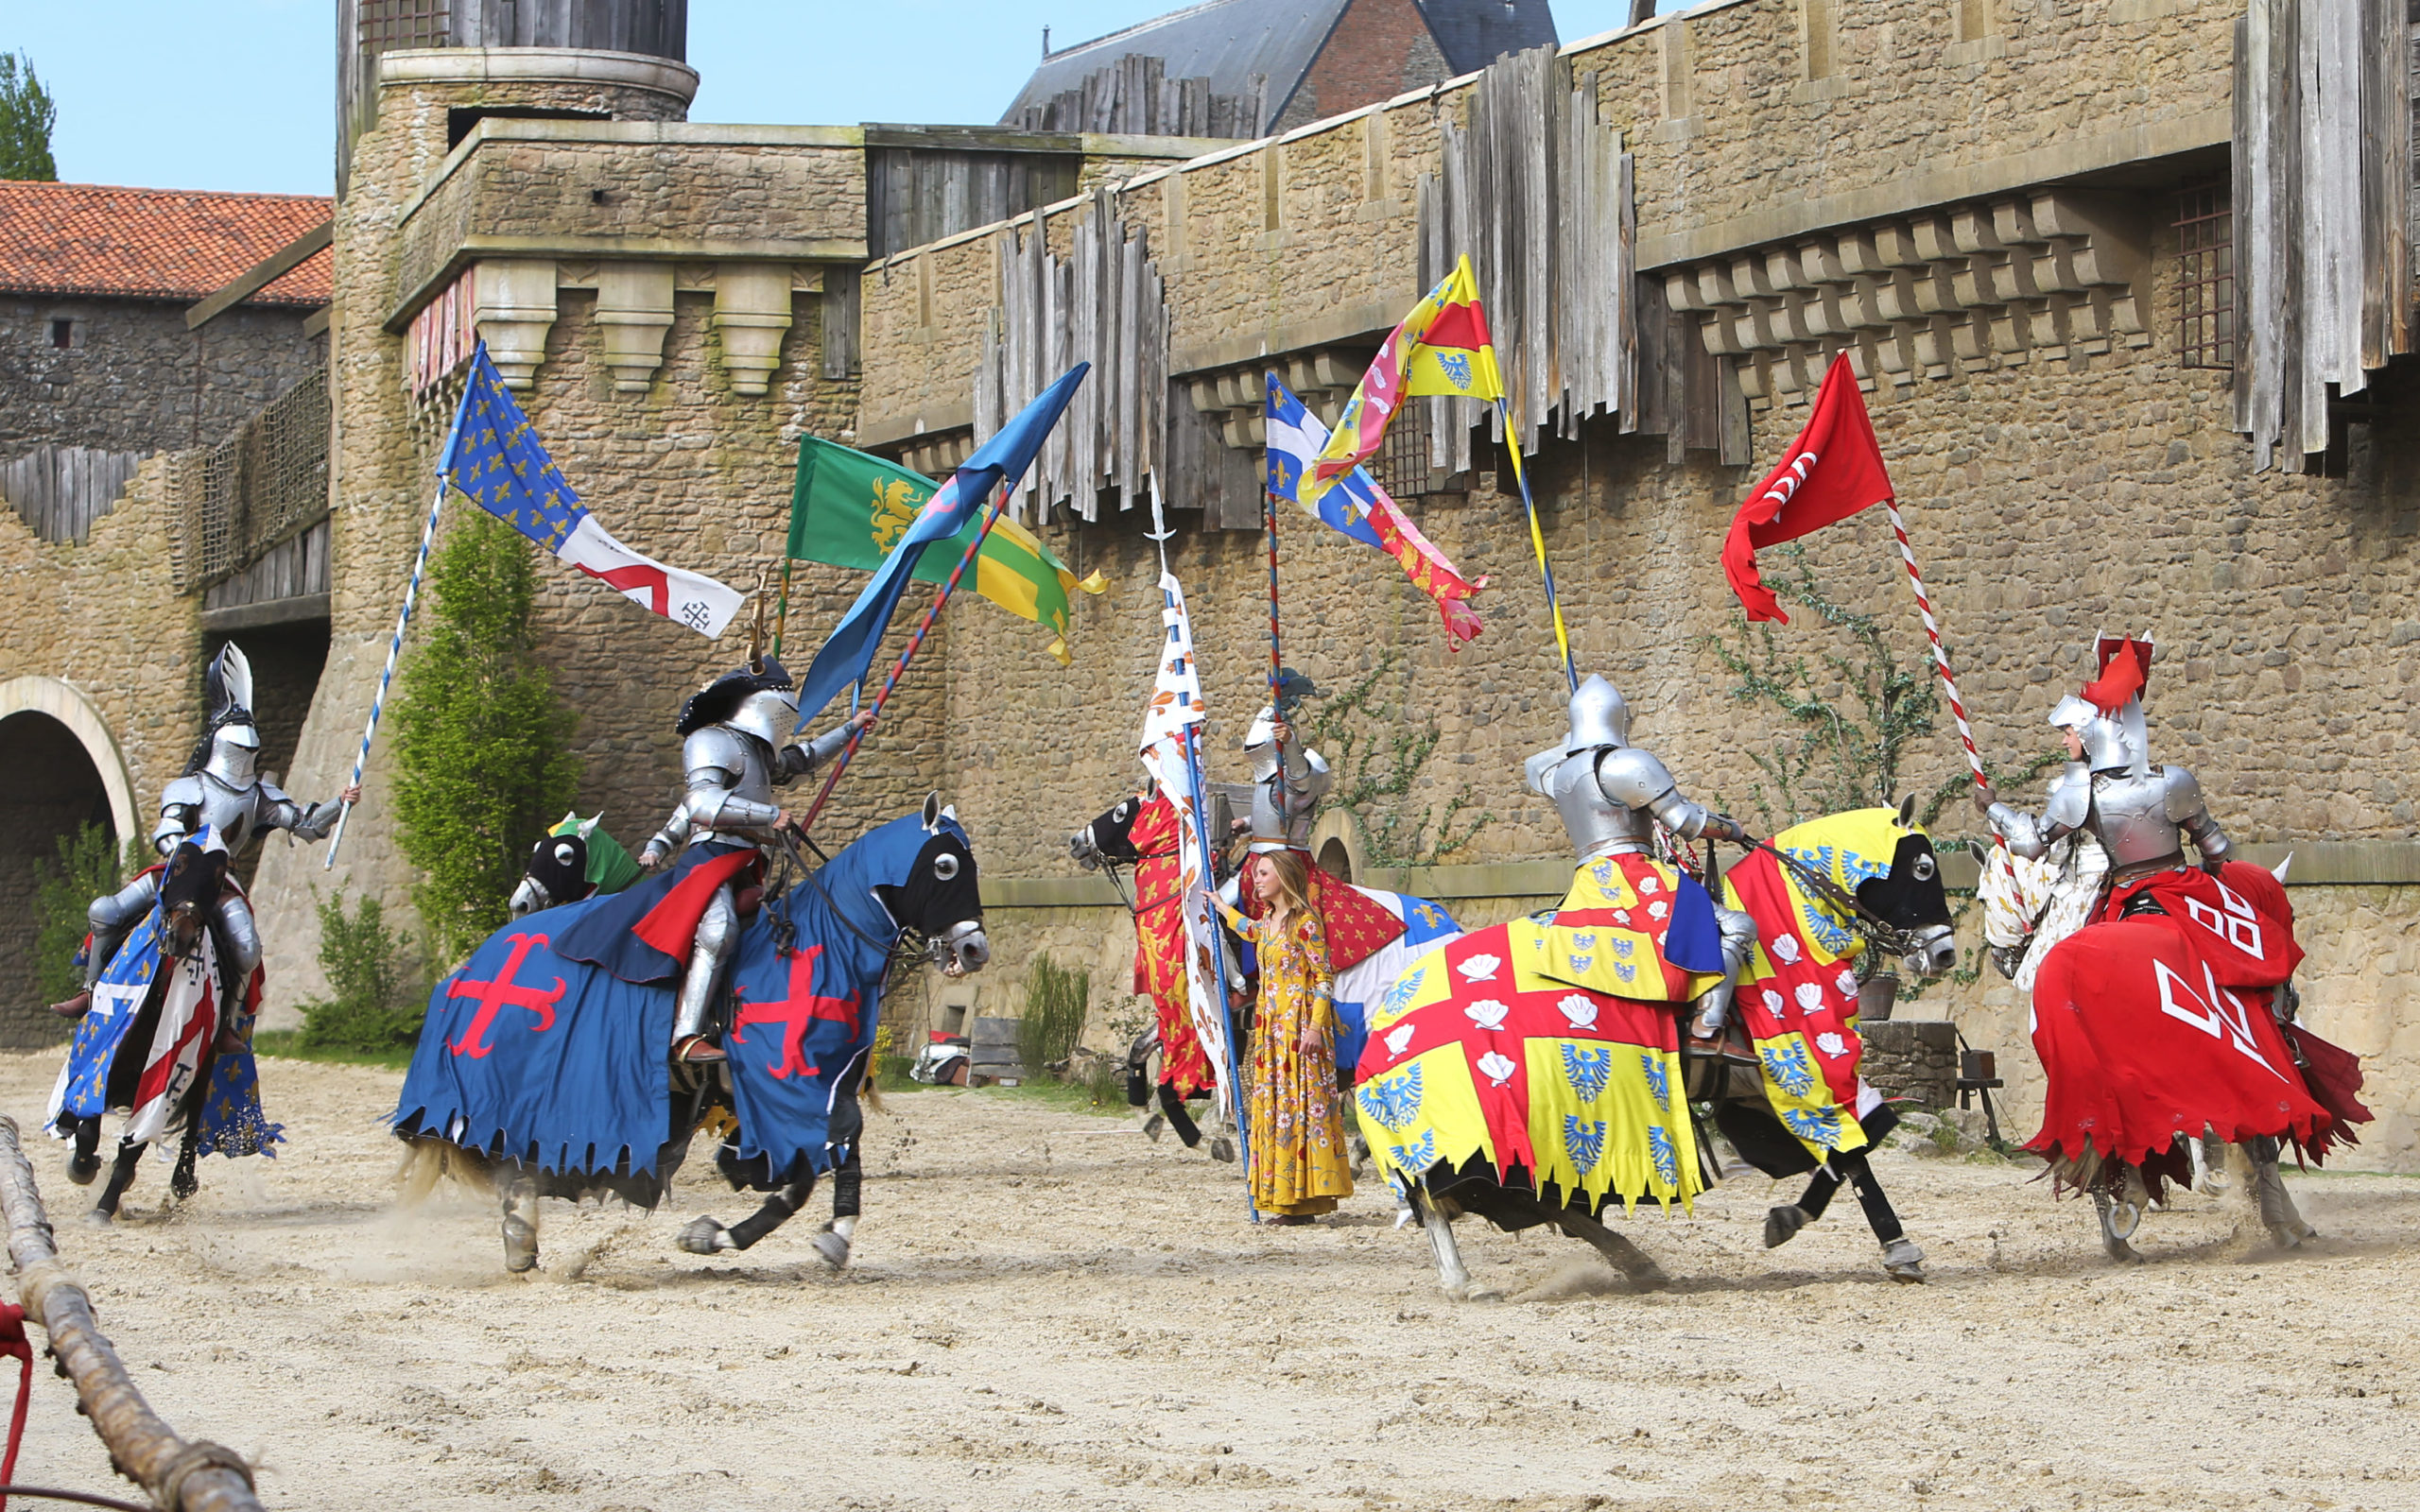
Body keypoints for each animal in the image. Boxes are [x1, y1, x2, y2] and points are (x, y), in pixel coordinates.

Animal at [46, 832, 283, 1219]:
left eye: (217, 873)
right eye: (181, 863)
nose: (181, 936)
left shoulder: (165, 1078)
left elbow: (133, 1146)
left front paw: (106, 1203)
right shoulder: (103, 1060)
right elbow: (89, 1128)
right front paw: (83, 1167)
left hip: (202, 1068)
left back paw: (182, 1179)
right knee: (104, 910)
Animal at [396, 798, 982, 1267]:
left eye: (562, 854)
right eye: (945, 865)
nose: (974, 949)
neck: (819, 947)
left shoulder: (818, 1089)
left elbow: (824, 1162)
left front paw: (802, 1234)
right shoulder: (783, 1090)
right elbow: (806, 1168)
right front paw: (732, 1230)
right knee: (510, 1148)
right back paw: (520, 1233)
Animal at [1355, 802, 1955, 1297]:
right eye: (1923, 868)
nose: (1945, 953)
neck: (1787, 936)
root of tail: (1386, 1024)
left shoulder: (1759, 1091)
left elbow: (1849, 1150)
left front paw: (1796, 1221)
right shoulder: (1802, 1069)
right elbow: (1855, 1149)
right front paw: (1893, 1247)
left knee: (1528, 1201)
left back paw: (1631, 1263)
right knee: (1443, 1198)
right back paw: (1466, 1283)